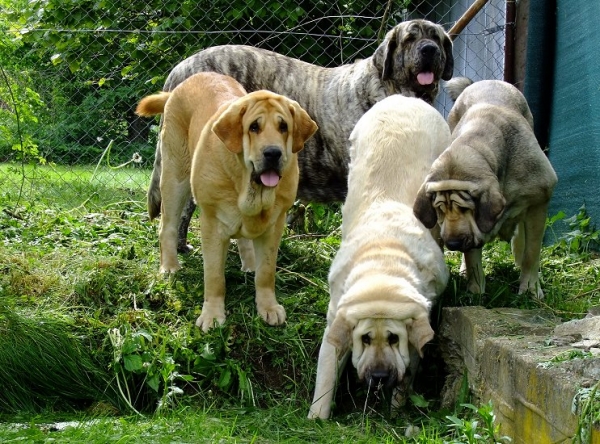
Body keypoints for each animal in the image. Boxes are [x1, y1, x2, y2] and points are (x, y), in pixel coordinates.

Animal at [135, 73, 314, 330]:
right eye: (253, 127)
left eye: (283, 127)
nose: (273, 153)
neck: (246, 185)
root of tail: (180, 86)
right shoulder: (212, 225)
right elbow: (214, 276)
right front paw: (212, 315)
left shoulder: (274, 226)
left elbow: (266, 273)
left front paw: (268, 307)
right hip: (174, 178)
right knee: (166, 227)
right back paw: (169, 267)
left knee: (245, 240)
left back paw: (249, 263)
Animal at [310, 94, 450, 420]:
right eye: (365, 339)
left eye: (394, 338)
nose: (378, 377)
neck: (384, 259)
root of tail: (403, 98)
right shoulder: (336, 314)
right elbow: (326, 371)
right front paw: (316, 416)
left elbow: (410, 367)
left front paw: (397, 408)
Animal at [412, 77, 556, 298]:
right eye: (439, 209)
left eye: (465, 208)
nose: (452, 244)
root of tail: (483, 80)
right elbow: (473, 259)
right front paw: (476, 291)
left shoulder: (539, 202)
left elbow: (532, 252)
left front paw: (530, 289)